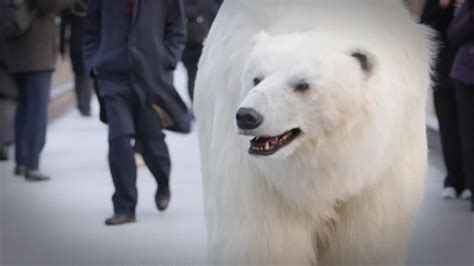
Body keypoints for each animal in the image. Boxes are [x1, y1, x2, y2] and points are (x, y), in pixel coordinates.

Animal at [194, 1, 436, 264]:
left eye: (302, 84)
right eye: (256, 78)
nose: (248, 116)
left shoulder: (383, 169)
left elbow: (365, 240)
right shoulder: (259, 179)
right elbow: (264, 242)